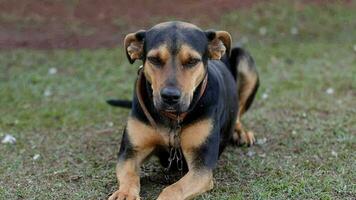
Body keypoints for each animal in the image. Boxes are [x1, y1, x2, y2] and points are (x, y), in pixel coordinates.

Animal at [107, 21, 260, 199]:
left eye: (192, 61)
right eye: (154, 59)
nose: (170, 96)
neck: (173, 118)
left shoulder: (202, 166)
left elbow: (174, 189)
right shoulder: (130, 152)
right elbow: (129, 174)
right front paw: (124, 193)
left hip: (245, 60)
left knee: (238, 113)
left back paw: (240, 132)